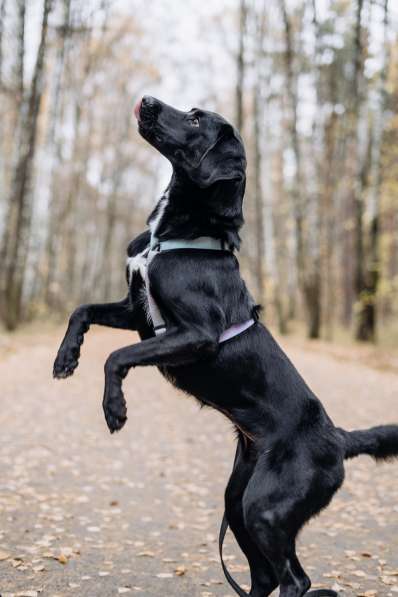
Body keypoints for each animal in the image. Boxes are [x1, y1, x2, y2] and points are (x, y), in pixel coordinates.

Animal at [54, 95, 398, 592]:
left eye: (196, 119)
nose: (147, 99)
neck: (174, 235)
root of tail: (338, 439)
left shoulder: (194, 334)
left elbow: (118, 356)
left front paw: (114, 408)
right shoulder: (135, 312)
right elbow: (82, 310)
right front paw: (66, 359)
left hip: (265, 508)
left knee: (295, 580)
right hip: (237, 500)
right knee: (268, 573)